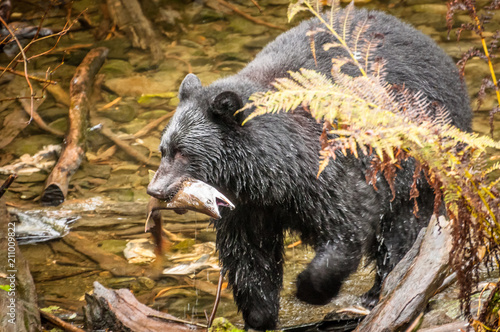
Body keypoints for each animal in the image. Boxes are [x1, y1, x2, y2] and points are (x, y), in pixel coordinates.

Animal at [146, 6, 470, 330]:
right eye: (163, 150)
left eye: (183, 152)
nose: (155, 189)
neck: (268, 176)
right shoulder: (247, 208)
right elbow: (249, 256)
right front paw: (258, 316)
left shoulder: (325, 165)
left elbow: (348, 220)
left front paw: (307, 288)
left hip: (416, 164)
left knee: (401, 233)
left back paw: (379, 292)